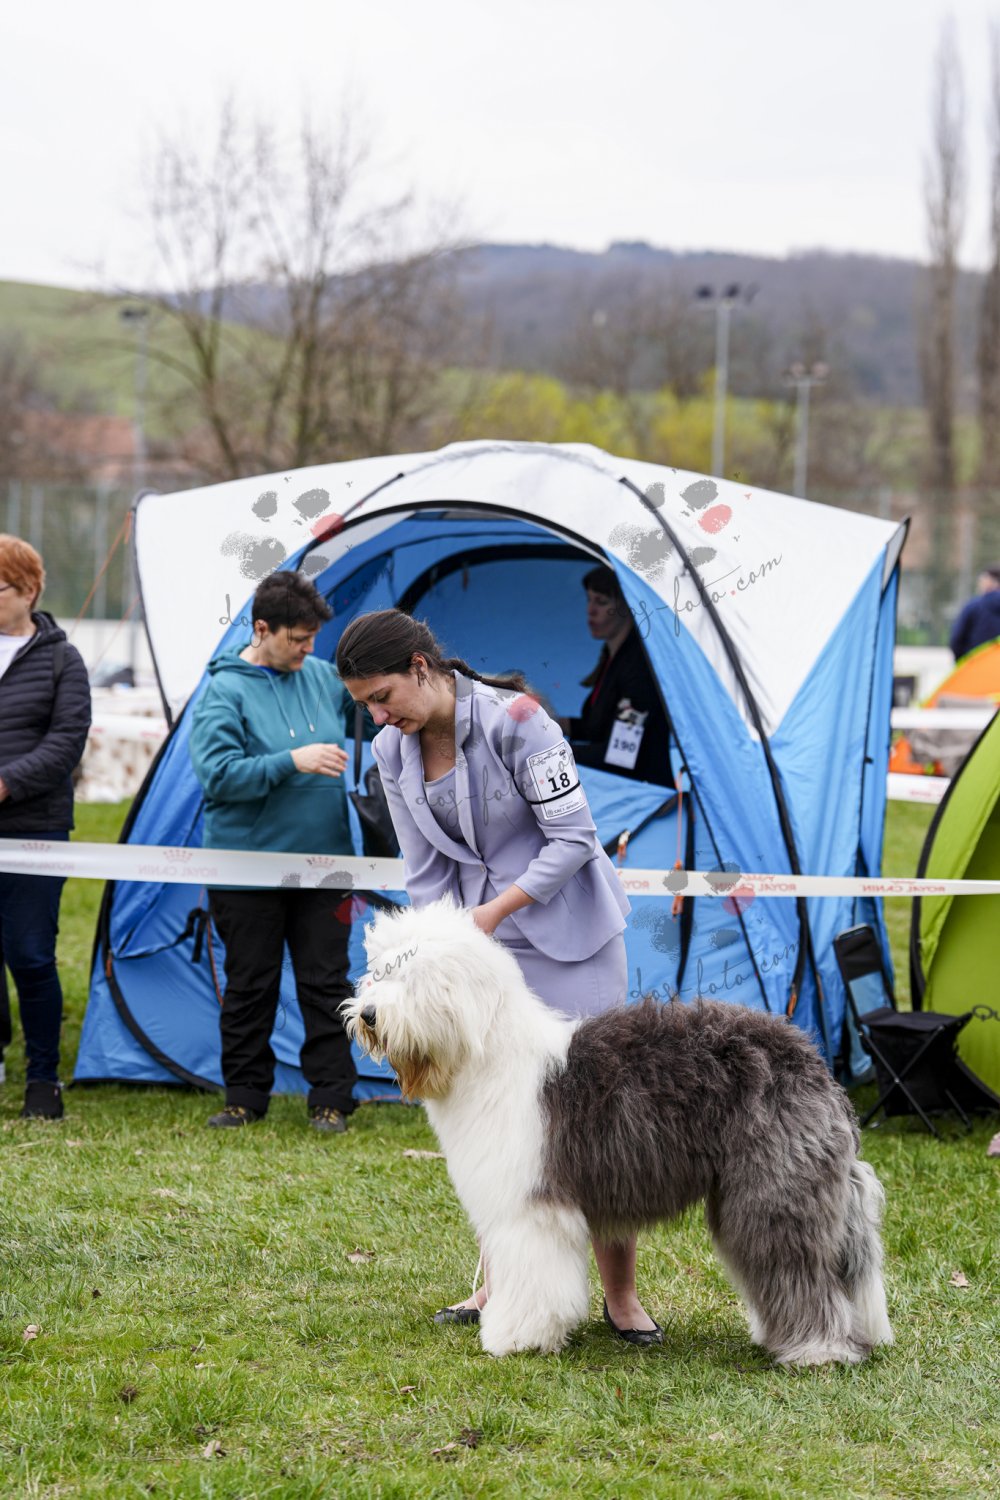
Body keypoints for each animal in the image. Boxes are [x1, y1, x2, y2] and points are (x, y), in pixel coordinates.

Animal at [343, 900, 892, 1364]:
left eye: (412, 977)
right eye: (378, 973)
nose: (366, 1015)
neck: (486, 1055)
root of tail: (811, 1061)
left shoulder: (530, 1210)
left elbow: (531, 1278)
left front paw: (514, 1336)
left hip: (773, 1191)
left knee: (800, 1267)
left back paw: (817, 1349)